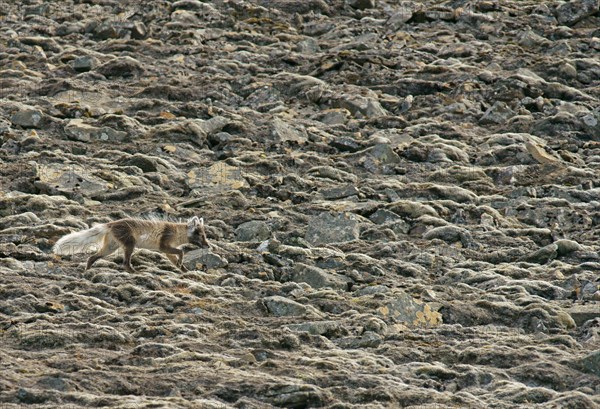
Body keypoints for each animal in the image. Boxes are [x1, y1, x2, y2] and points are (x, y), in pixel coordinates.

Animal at [52, 215, 211, 272]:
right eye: (202, 236)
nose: (208, 245)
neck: (178, 233)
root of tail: (110, 224)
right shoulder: (164, 246)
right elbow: (181, 252)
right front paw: (181, 264)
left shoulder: (167, 251)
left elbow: (176, 258)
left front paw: (184, 270)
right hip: (129, 244)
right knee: (125, 263)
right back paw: (134, 272)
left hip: (110, 247)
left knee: (91, 257)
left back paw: (87, 271)